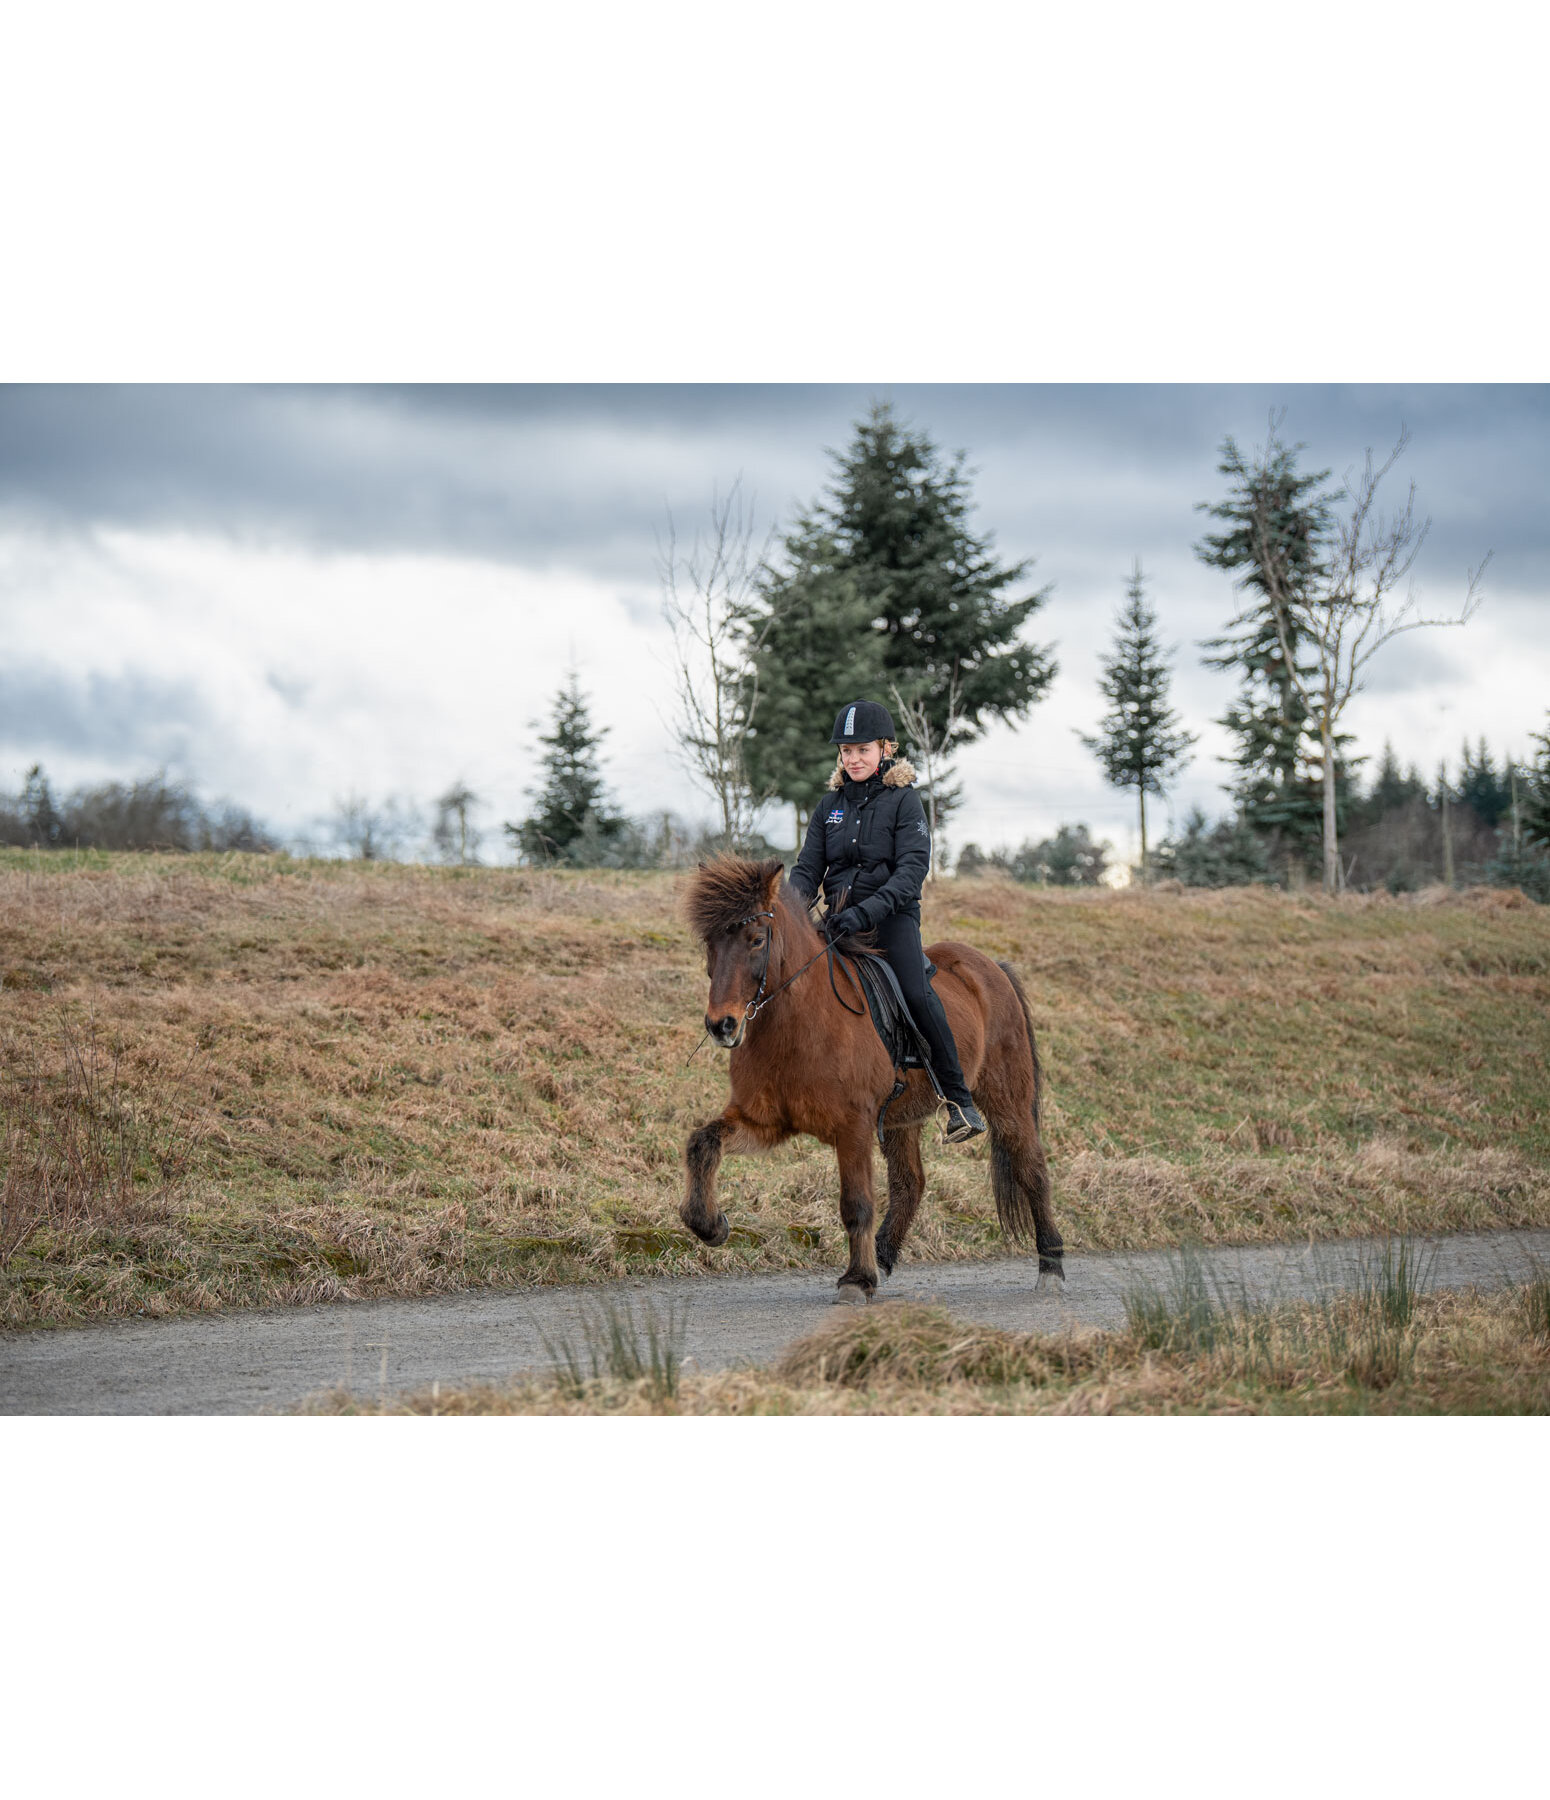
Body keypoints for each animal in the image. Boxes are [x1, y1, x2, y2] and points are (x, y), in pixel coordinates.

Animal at [680, 856, 1065, 1296]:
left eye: (757, 939)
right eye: (710, 942)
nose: (721, 1025)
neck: (798, 1024)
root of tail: (991, 968)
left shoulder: (854, 1128)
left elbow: (857, 1204)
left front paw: (856, 1279)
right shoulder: (765, 1122)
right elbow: (702, 1143)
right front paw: (710, 1226)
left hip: (1006, 1101)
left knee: (1032, 1169)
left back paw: (1051, 1266)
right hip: (901, 1118)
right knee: (910, 1183)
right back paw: (882, 1256)